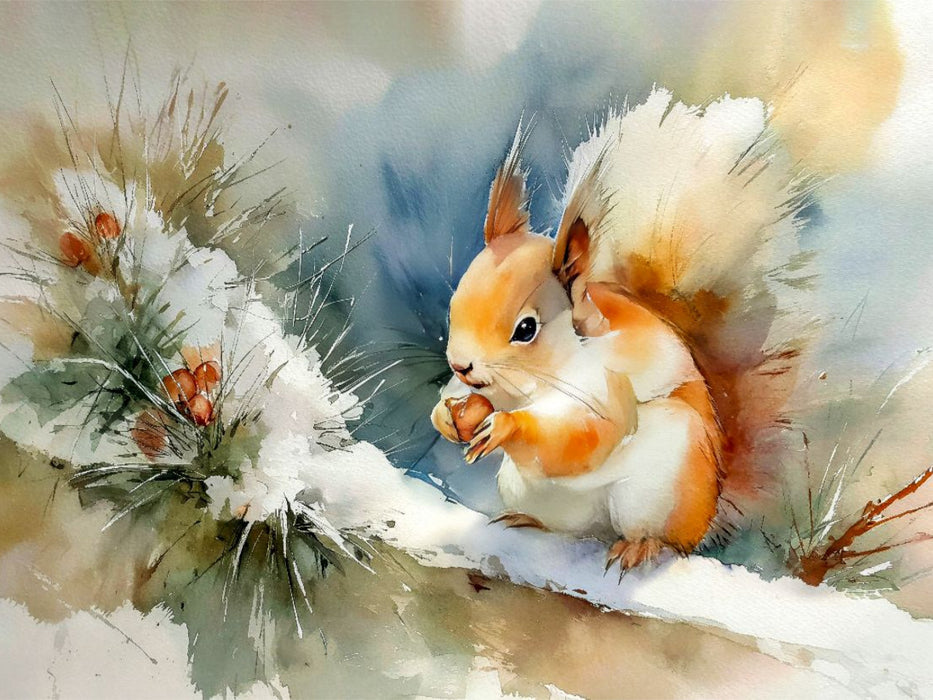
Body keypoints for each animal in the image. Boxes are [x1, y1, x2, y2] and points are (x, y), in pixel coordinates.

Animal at [431, 89, 813, 571]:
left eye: (526, 328)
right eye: (454, 305)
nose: (460, 365)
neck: (530, 385)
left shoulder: (606, 389)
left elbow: (579, 440)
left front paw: (505, 427)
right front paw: (447, 416)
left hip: (659, 486)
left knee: (664, 536)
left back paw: (640, 546)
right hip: (529, 490)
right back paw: (525, 520)